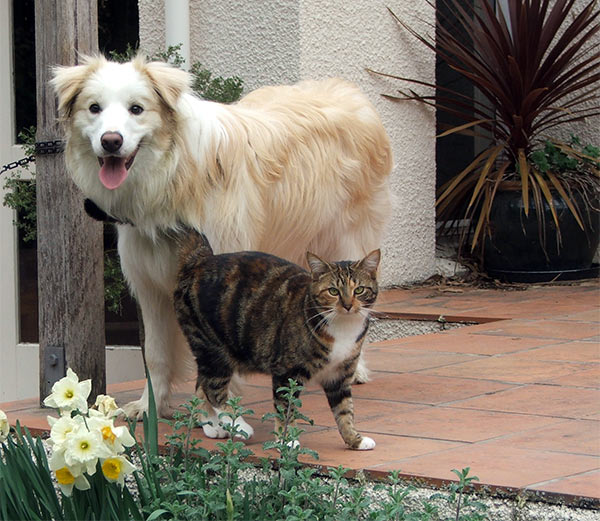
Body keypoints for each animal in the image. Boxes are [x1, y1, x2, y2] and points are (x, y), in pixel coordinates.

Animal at [52, 53, 394, 418]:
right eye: (94, 108)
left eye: (136, 109)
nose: (111, 141)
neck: (173, 175)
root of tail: (349, 92)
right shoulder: (150, 286)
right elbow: (155, 355)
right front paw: (149, 408)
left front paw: (214, 414)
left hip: (347, 242)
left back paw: (352, 369)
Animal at [173, 230, 380, 448]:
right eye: (333, 291)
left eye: (359, 290)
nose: (348, 305)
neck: (343, 327)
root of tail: (200, 259)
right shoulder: (288, 372)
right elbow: (286, 408)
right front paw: (287, 441)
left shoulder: (339, 375)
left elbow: (345, 411)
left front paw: (355, 440)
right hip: (211, 346)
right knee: (213, 388)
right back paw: (237, 425)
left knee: (201, 385)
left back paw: (212, 425)